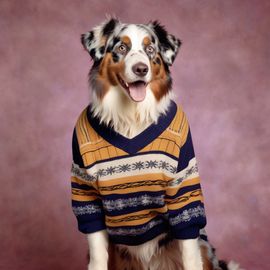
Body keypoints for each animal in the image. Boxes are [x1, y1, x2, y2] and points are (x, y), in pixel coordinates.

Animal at [71, 17, 240, 268]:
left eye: (150, 49)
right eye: (122, 47)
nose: (141, 68)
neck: (132, 116)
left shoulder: (182, 187)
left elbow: (189, 250)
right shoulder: (86, 192)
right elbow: (98, 253)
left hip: (203, 245)